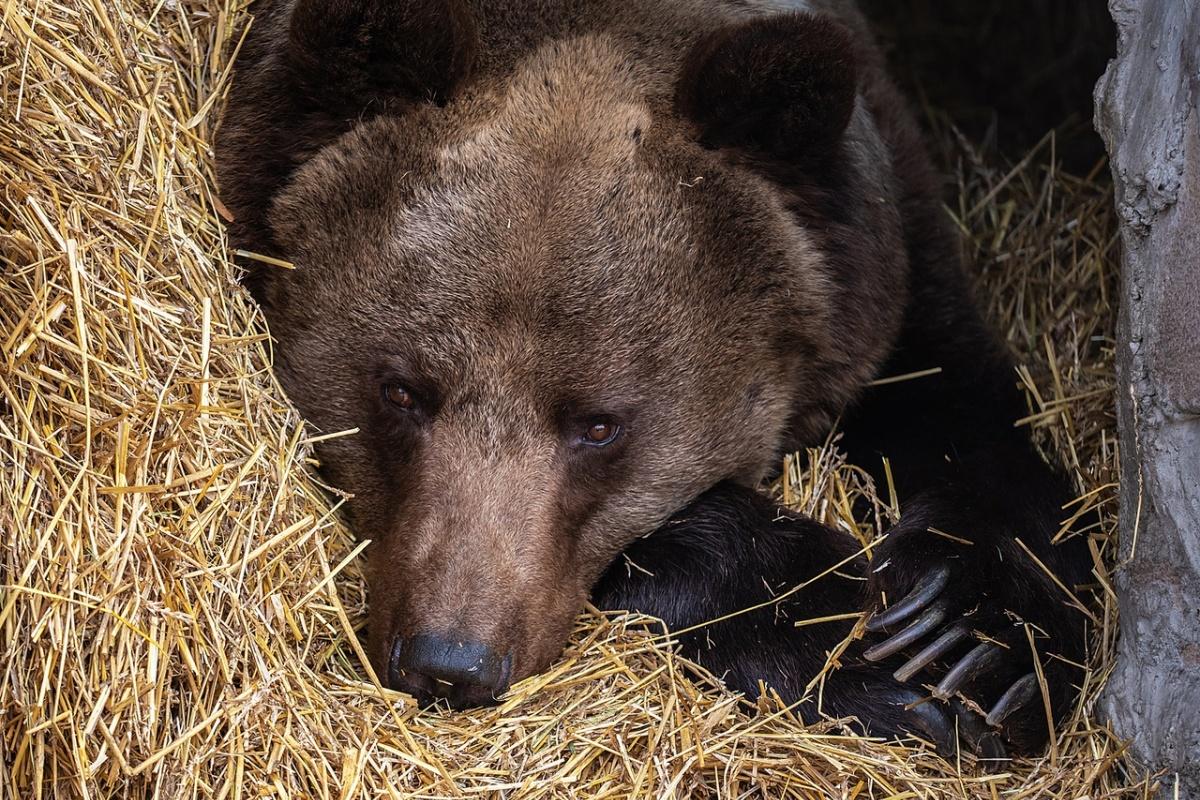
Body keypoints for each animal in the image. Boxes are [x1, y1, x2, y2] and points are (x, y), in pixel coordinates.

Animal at [213, 0, 1089, 762]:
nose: (449, 659)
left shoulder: (885, 266)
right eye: (400, 391)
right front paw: (865, 651)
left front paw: (967, 641)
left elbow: (968, 421)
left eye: (599, 423)